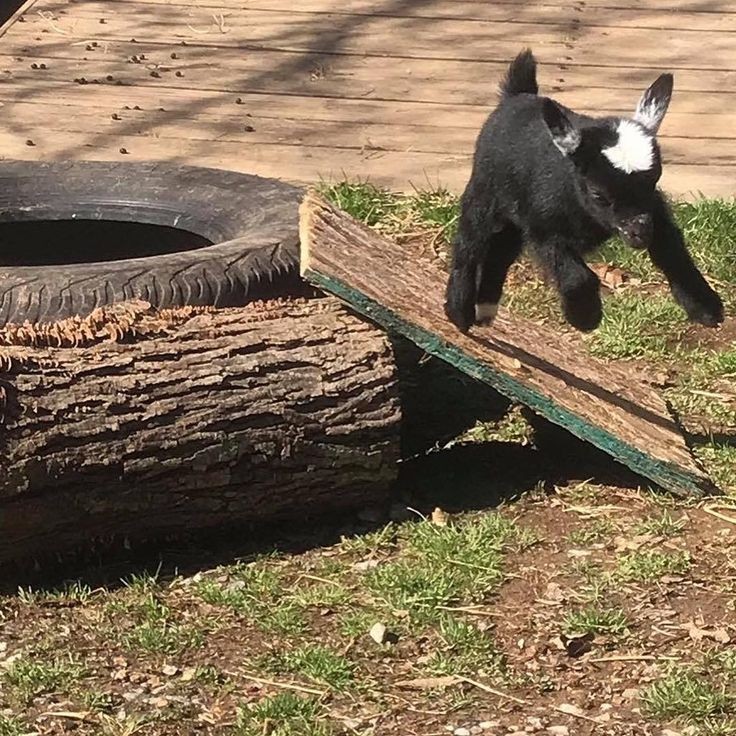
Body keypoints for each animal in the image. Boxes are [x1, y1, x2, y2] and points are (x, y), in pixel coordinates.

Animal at [446, 52, 720, 336]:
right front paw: (585, 316)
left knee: (501, 252)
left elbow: (673, 250)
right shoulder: (543, 227)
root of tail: (517, 95)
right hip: (484, 194)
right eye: (599, 194)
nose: (639, 233)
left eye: (654, 181)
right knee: (470, 244)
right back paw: (460, 312)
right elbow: (577, 275)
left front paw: (705, 307)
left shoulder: (655, 212)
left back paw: (485, 309)